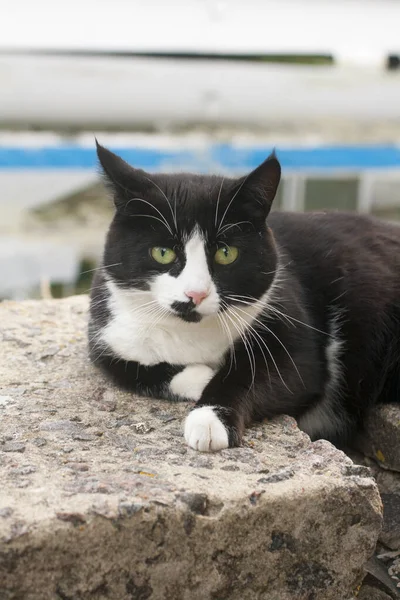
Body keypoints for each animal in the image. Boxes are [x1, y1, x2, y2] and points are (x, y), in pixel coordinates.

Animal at [89, 141, 400, 450]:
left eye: (226, 253)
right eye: (162, 252)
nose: (195, 293)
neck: (191, 334)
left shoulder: (289, 322)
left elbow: (264, 376)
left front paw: (209, 418)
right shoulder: (107, 335)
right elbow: (127, 369)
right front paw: (203, 377)